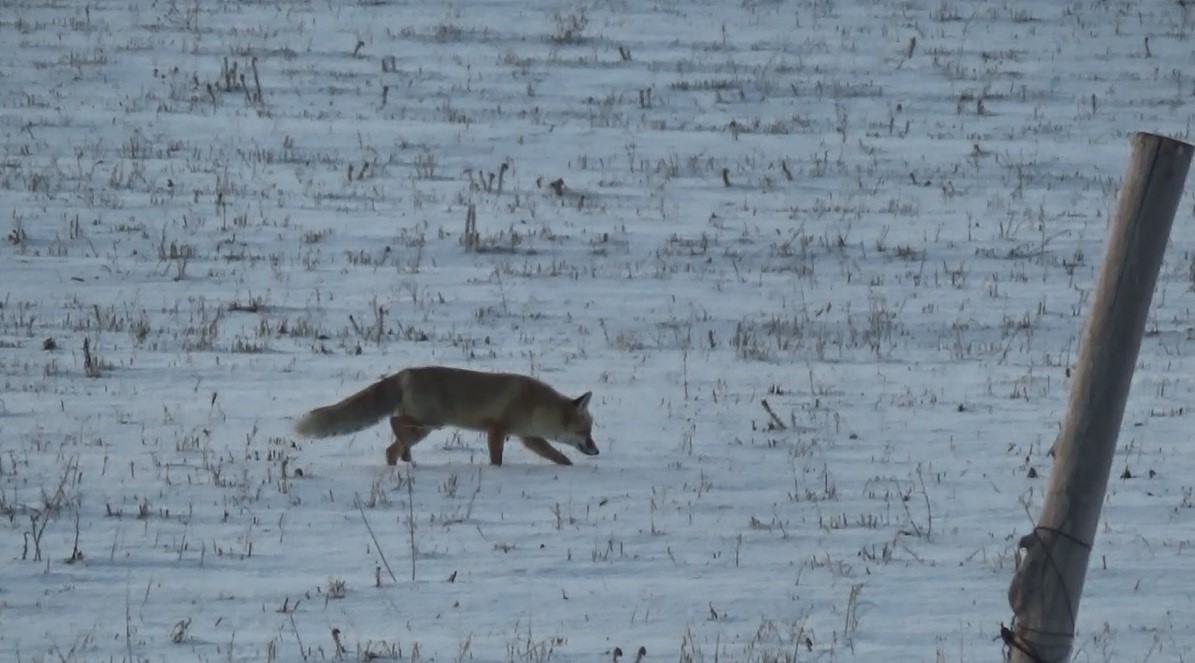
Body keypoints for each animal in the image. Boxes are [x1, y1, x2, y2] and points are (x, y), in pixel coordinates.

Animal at [292, 367, 597, 465]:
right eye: (585, 432)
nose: (596, 451)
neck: (535, 405)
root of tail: (404, 373)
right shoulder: (496, 430)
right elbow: (496, 459)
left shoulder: (528, 437)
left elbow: (558, 456)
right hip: (430, 422)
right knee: (393, 423)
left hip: (424, 429)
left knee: (392, 447)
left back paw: (403, 463)